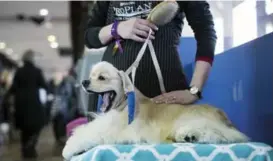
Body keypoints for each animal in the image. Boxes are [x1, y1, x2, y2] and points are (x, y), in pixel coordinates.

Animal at [62, 61, 249, 160]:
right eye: (91, 76)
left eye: (102, 77)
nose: (85, 82)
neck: (123, 102)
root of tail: (222, 115)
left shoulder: (114, 129)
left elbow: (88, 134)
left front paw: (69, 149)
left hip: (192, 119)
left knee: (222, 135)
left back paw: (191, 135)